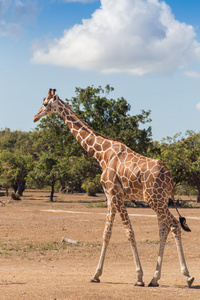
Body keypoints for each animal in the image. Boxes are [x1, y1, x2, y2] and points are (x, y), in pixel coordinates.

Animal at [33, 89, 194, 288]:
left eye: (45, 104)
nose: (35, 117)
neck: (101, 154)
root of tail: (170, 176)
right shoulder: (110, 196)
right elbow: (106, 233)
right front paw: (96, 275)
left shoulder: (115, 193)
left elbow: (129, 232)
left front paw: (138, 277)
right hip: (161, 200)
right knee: (163, 229)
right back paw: (155, 279)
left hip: (153, 199)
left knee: (174, 225)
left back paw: (187, 276)